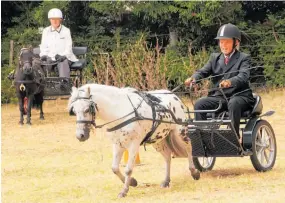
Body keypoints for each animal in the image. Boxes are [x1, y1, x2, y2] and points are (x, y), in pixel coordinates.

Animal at [67, 84, 199, 198]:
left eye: (87, 109)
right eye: (74, 110)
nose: (80, 135)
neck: (119, 111)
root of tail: (173, 96)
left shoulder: (134, 145)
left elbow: (128, 169)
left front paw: (124, 191)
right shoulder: (117, 144)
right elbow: (114, 168)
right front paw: (132, 182)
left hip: (180, 131)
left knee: (189, 148)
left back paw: (194, 172)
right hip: (157, 139)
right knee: (167, 156)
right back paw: (166, 181)